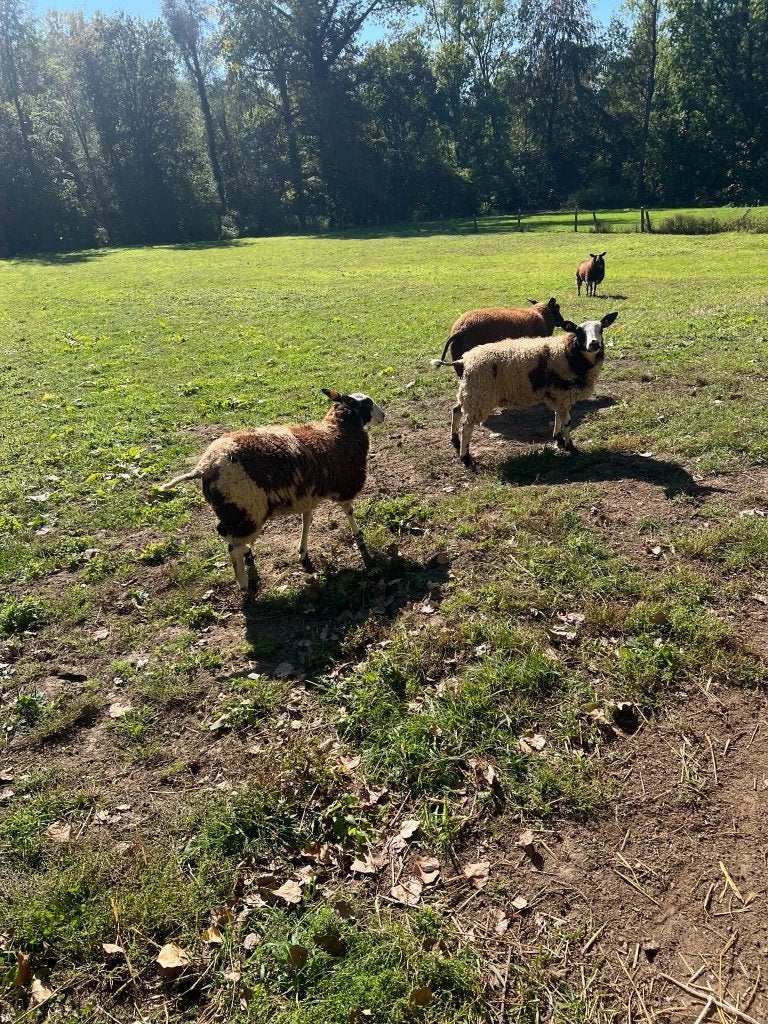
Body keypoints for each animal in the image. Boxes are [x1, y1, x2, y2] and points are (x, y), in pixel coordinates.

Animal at [159, 389, 385, 592]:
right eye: (368, 403)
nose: (383, 416)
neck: (338, 430)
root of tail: (206, 465)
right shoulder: (345, 485)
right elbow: (349, 512)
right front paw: (358, 535)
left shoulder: (307, 494)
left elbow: (307, 521)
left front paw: (303, 551)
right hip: (247, 511)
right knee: (232, 548)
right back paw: (243, 582)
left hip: (233, 511)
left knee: (225, 533)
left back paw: (247, 554)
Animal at [433, 312, 618, 466]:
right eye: (579, 332)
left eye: (601, 329)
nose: (594, 344)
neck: (569, 353)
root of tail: (464, 360)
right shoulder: (563, 393)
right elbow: (567, 422)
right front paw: (571, 448)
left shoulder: (558, 395)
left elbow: (557, 416)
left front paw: (558, 439)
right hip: (479, 395)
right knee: (466, 426)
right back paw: (465, 458)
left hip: (470, 392)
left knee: (456, 410)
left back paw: (455, 442)